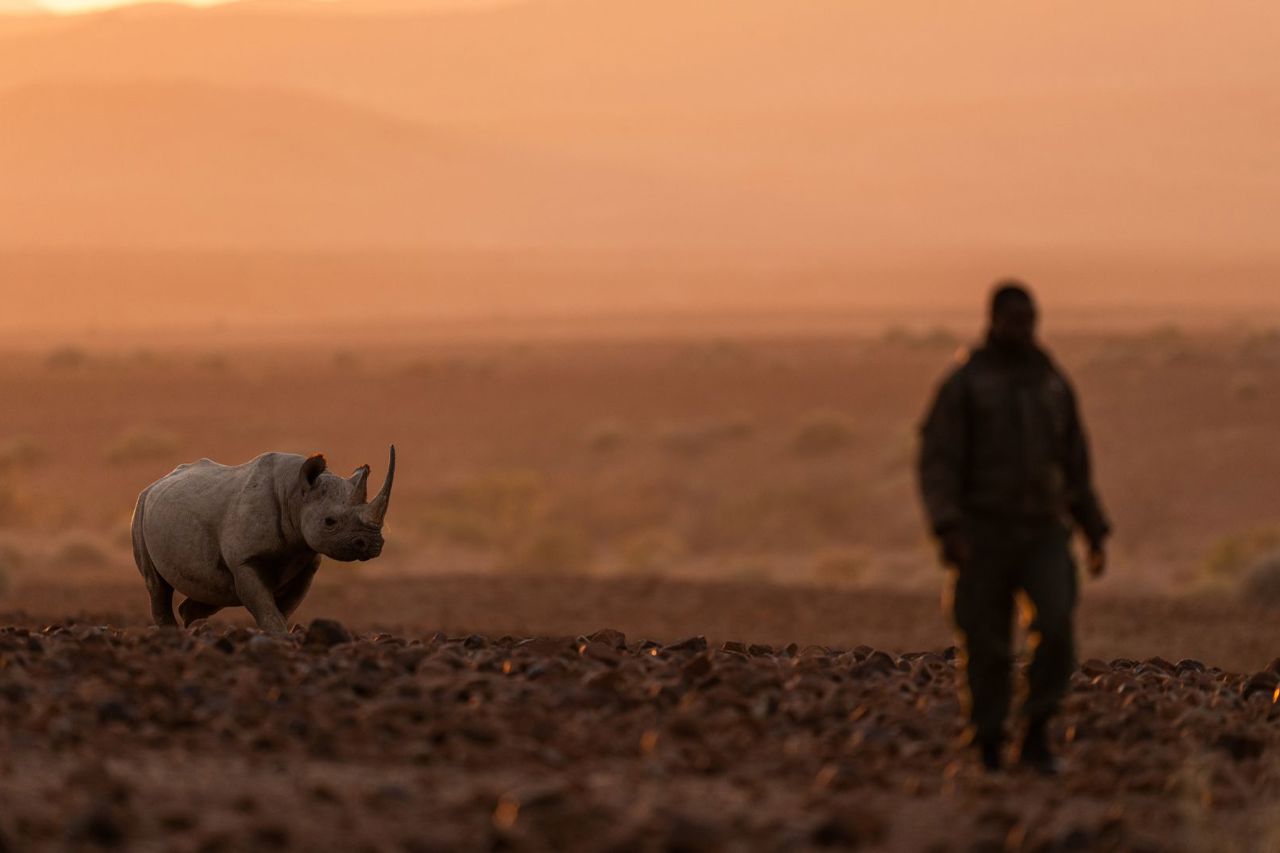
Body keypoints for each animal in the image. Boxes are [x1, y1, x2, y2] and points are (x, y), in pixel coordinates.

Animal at [131, 447, 395, 633]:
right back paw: (173, 632)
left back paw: (192, 618)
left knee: (214, 587)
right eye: (329, 522)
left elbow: (282, 609)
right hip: (141, 507)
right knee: (157, 585)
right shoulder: (245, 560)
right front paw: (281, 639)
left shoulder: (305, 560)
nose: (372, 544)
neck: (295, 495)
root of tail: (155, 483)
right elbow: (266, 607)